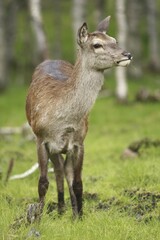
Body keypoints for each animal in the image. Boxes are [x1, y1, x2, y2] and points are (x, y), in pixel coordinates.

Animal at [25, 16, 132, 221]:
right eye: (97, 45)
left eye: (114, 40)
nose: (127, 54)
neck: (62, 120)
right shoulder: (40, 139)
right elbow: (42, 182)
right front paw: (37, 218)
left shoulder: (79, 142)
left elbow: (78, 182)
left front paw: (80, 217)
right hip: (50, 145)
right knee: (58, 171)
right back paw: (60, 210)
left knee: (64, 171)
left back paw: (68, 211)